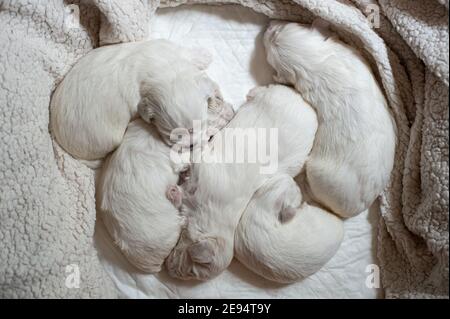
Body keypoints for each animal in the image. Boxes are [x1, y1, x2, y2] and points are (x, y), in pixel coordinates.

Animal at [51, 38, 222, 161]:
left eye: (201, 125)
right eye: (171, 136)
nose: (192, 145)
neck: (165, 71)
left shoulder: (166, 48)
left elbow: (185, 53)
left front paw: (205, 55)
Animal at [167, 84, 318, 280]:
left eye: (191, 274)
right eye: (192, 269)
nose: (169, 270)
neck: (207, 213)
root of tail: (306, 104)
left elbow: (183, 192)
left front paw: (174, 191)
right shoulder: (204, 168)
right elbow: (197, 153)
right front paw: (181, 165)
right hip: (275, 97)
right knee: (266, 90)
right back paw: (252, 92)